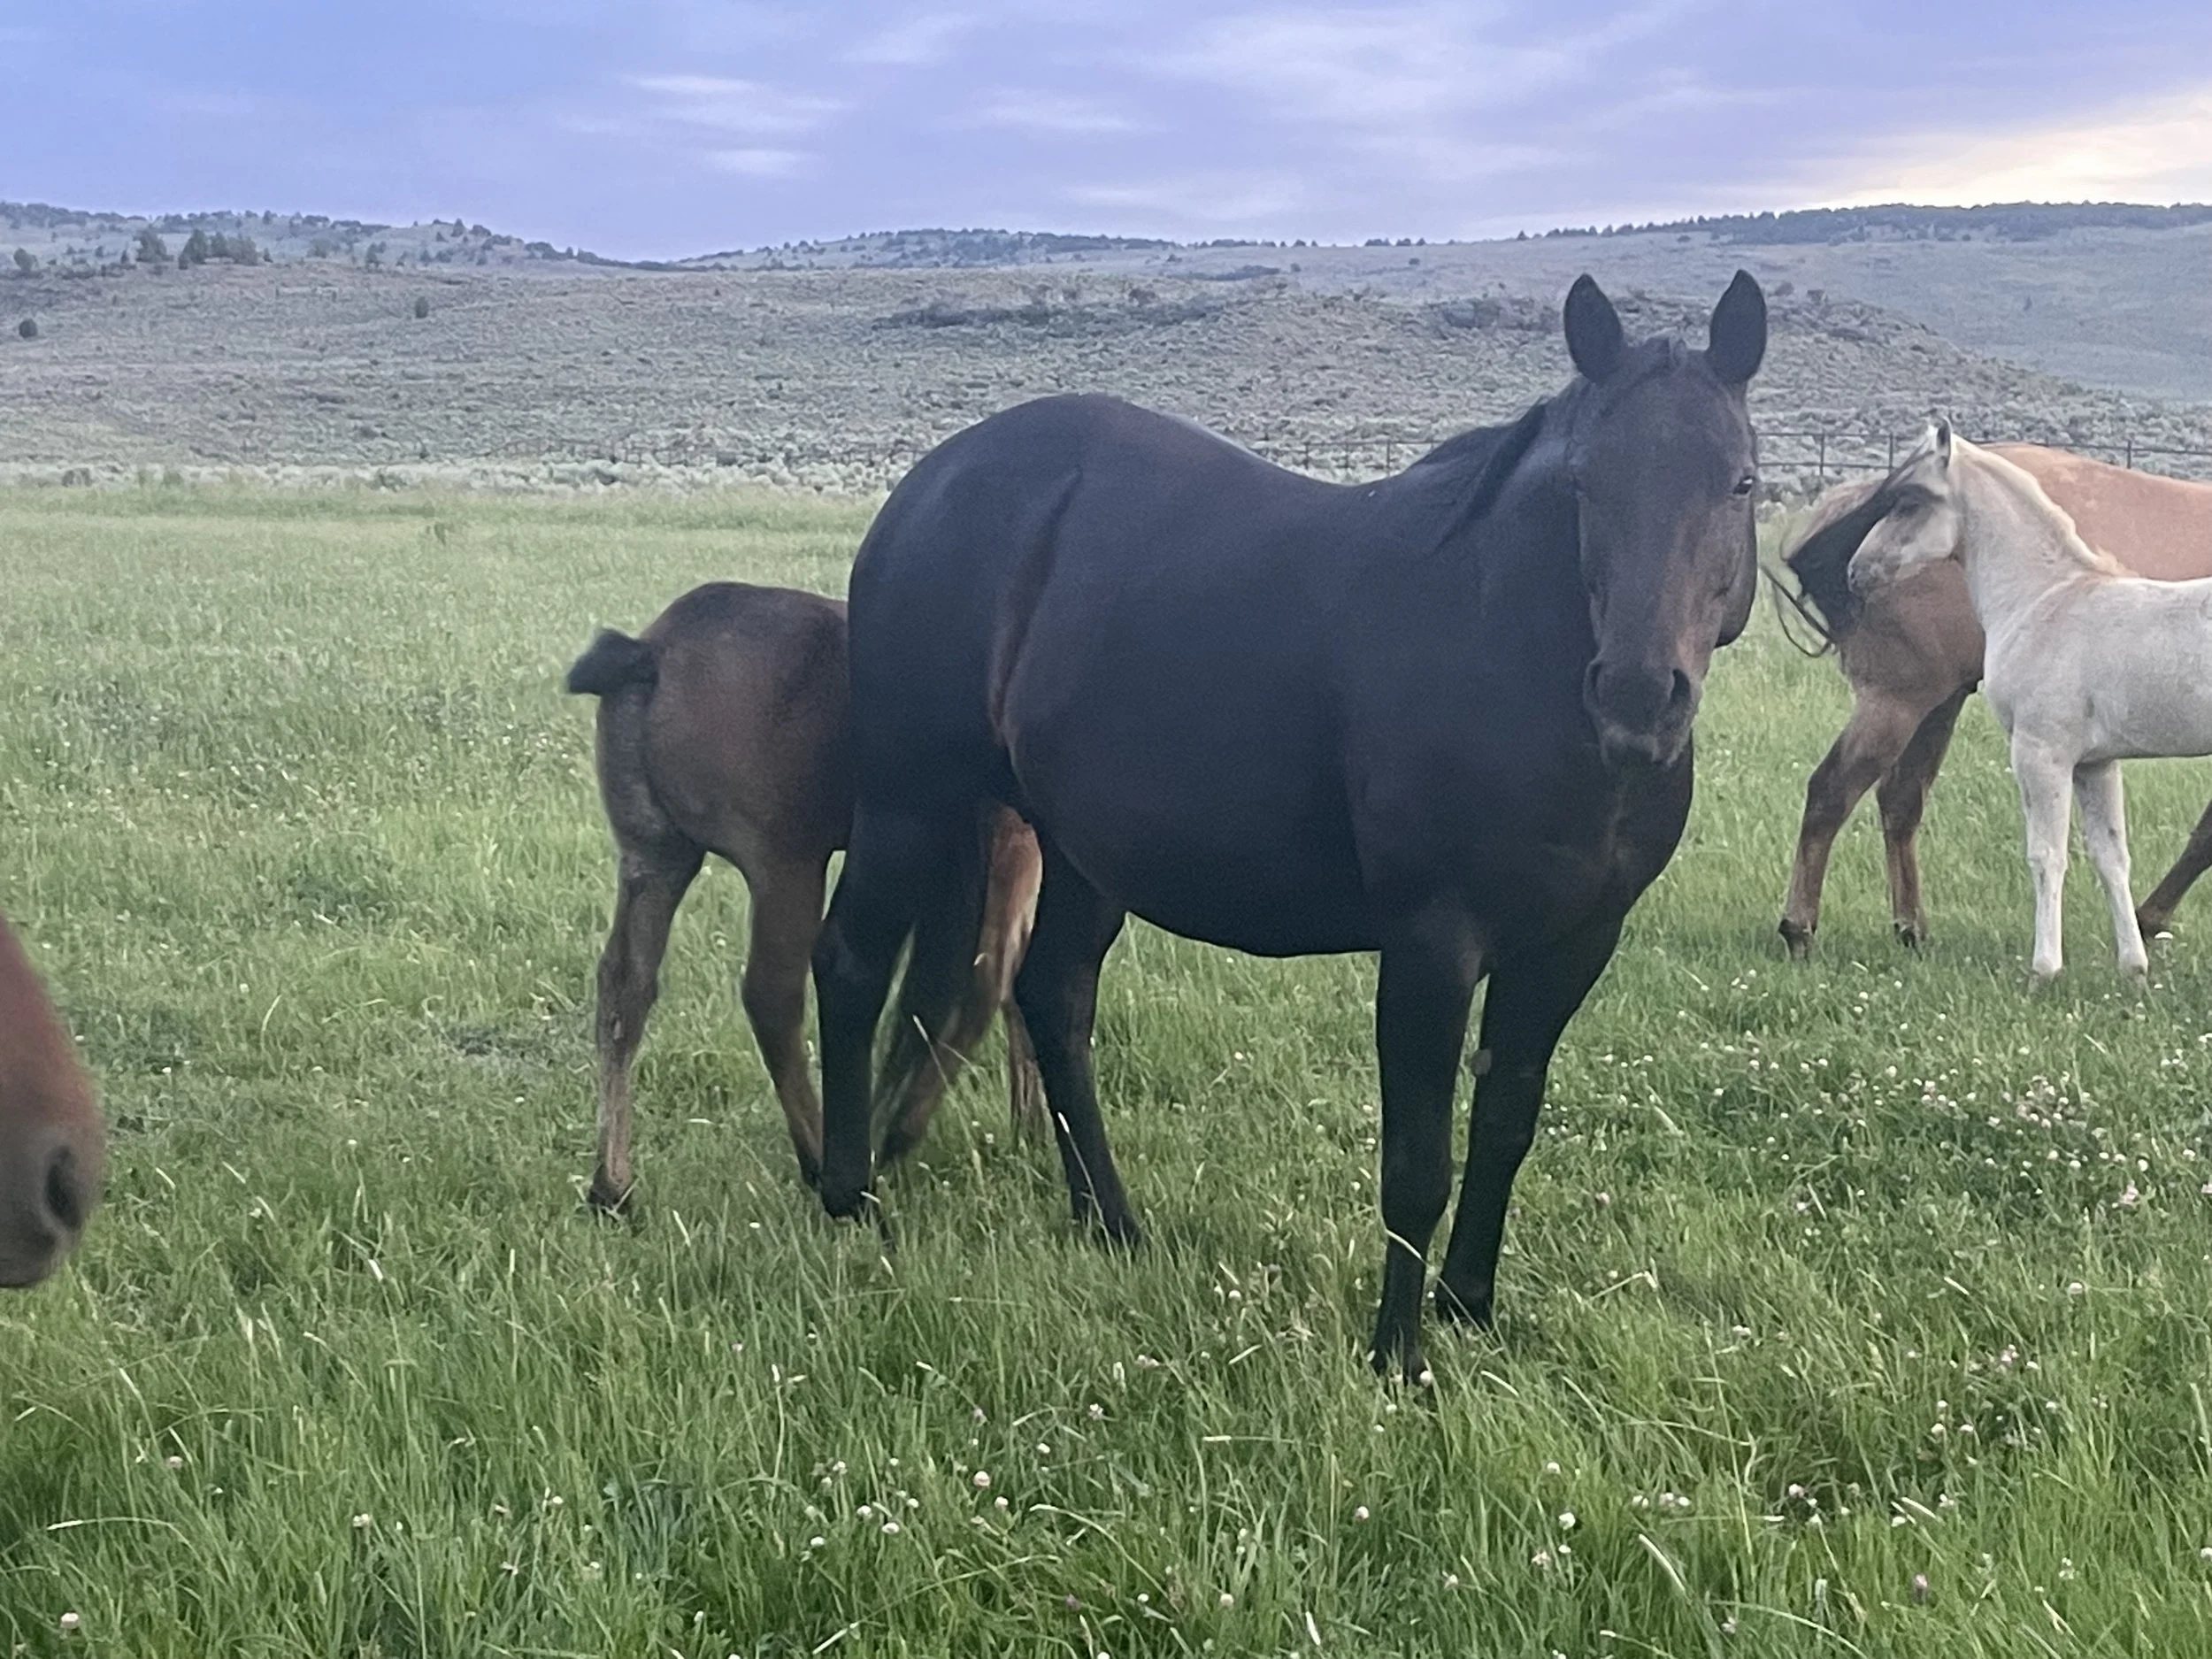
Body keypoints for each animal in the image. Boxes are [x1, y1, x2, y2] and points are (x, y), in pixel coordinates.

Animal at [566, 581, 1042, 1210]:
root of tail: (651, 653)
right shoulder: (1014, 845)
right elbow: (989, 981)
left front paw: (1031, 1127)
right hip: (786, 868)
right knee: (773, 997)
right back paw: (825, 1159)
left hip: (654, 859)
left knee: (626, 989)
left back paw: (612, 1184)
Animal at [810, 271, 1768, 1381]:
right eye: (1584, 484)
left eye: (1740, 483)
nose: (1637, 699)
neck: (1502, 647)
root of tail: (930, 482)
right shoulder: (1432, 948)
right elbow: (1418, 1165)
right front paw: (1398, 1357)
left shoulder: (1572, 946)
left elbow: (1505, 1126)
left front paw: (1469, 1308)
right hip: (909, 804)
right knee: (850, 964)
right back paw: (848, 1196)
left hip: (1082, 851)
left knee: (1053, 999)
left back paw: (1111, 1223)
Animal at [1777, 446, 2212, 955]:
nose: (1862, 567)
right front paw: (2144, 921)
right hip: (1898, 701)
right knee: (1832, 791)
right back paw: (1799, 927)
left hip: (1938, 702)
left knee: (1899, 799)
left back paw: (1910, 928)